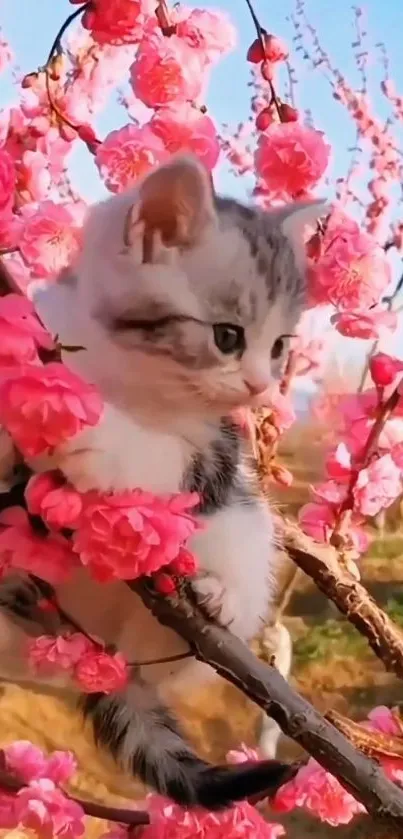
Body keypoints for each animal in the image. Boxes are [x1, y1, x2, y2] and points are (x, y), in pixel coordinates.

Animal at [0, 154, 328, 812]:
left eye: (280, 346)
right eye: (227, 336)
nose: (261, 385)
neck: (127, 372)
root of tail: (95, 641)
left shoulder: (217, 447)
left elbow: (169, 460)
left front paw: (100, 444)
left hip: (237, 554)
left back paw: (216, 597)